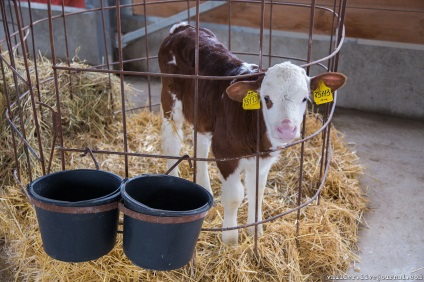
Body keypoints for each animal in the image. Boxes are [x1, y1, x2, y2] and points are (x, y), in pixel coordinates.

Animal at [157, 22, 346, 243]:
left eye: (305, 99)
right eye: (266, 98)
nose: (286, 128)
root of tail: (183, 27)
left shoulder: (262, 160)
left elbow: (257, 193)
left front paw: (256, 232)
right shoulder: (225, 153)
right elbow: (234, 197)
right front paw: (230, 239)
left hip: (203, 114)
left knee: (201, 143)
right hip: (170, 99)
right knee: (171, 142)